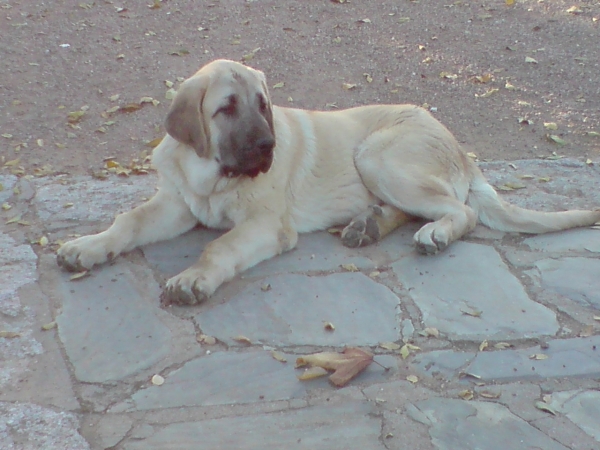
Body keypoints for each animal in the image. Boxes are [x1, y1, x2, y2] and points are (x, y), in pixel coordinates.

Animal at [56, 58, 600, 306]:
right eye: (225, 108)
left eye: (263, 105)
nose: (267, 147)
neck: (213, 176)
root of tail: (462, 151)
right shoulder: (176, 204)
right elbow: (127, 221)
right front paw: (88, 246)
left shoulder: (265, 225)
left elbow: (219, 246)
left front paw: (193, 278)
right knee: (417, 207)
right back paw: (369, 226)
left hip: (378, 155)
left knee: (459, 210)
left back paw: (434, 234)